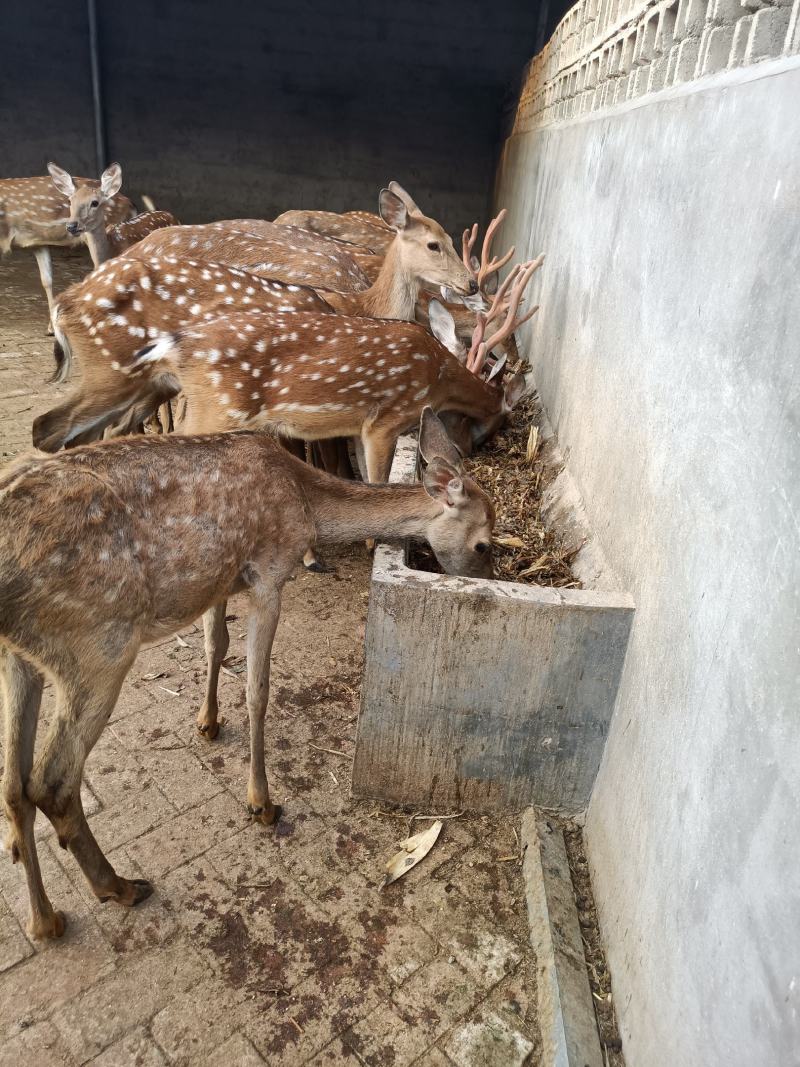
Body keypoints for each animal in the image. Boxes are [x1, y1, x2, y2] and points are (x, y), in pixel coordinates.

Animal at [0, 410, 494, 940]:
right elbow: (258, 688)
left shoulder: (220, 581)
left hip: (21, 657)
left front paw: (208, 722)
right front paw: (262, 802)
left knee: (13, 783)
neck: (306, 503)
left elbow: (216, 646)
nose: (487, 582)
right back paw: (119, 886)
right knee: (51, 781)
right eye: (485, 544)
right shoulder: (269, 573)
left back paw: (44, 919)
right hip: (98, 646)